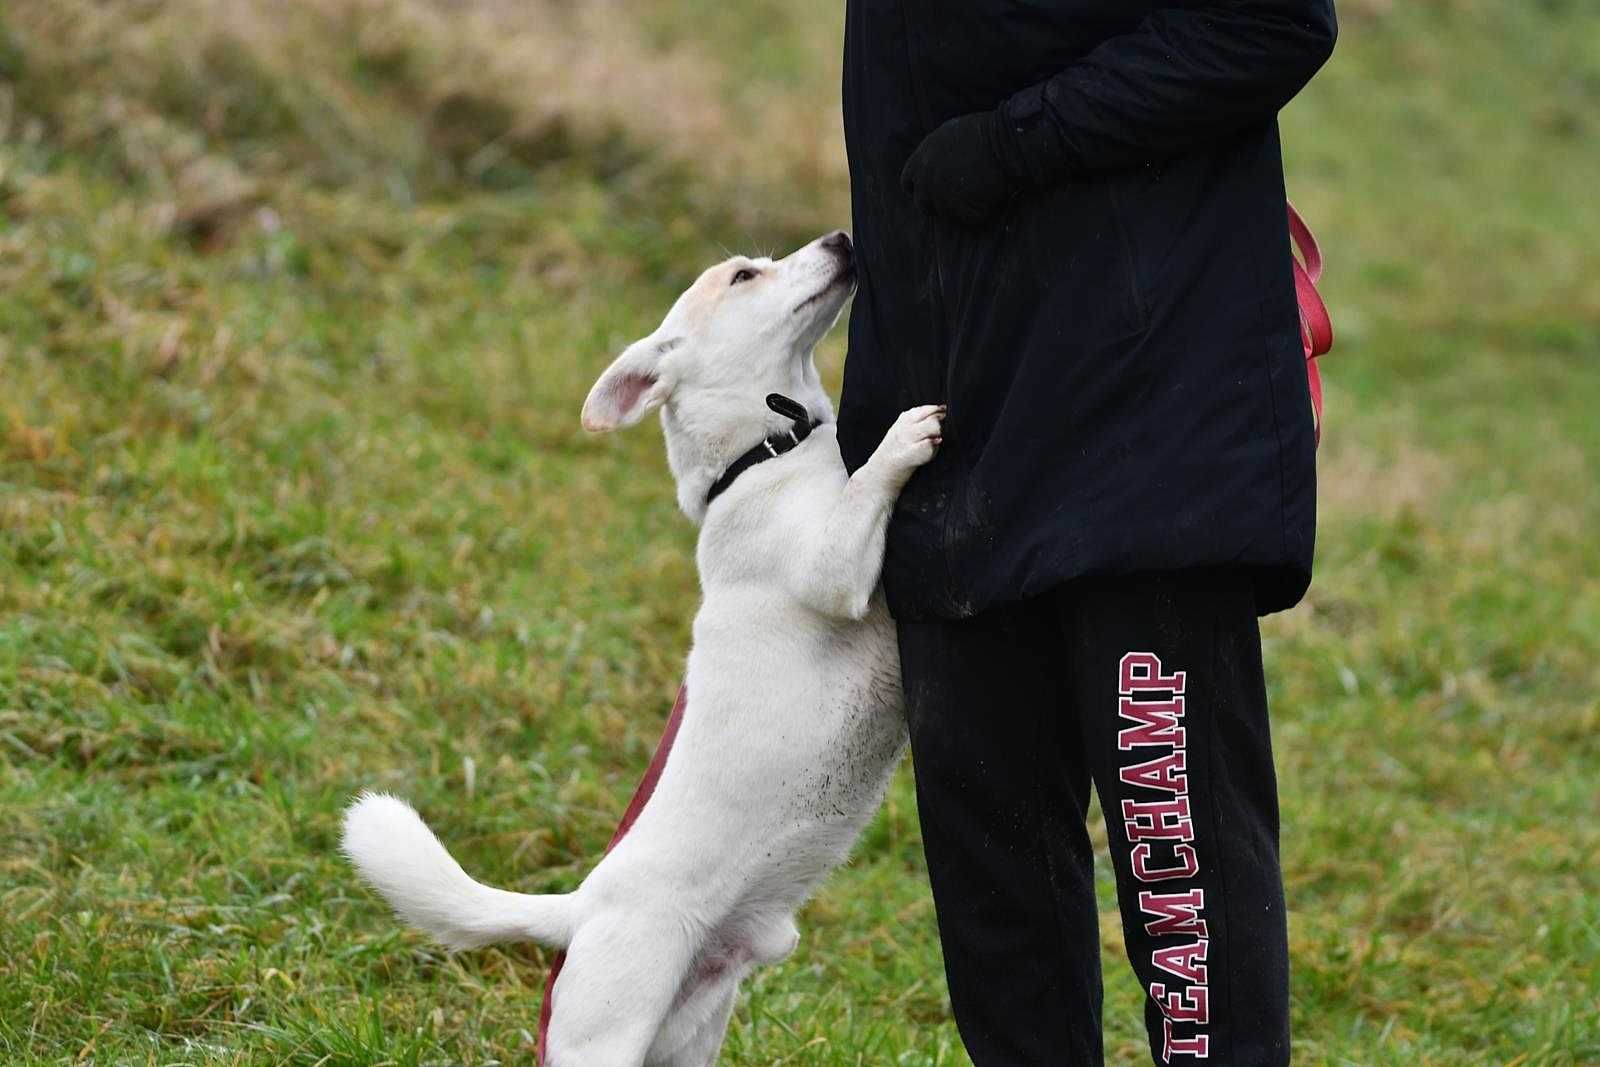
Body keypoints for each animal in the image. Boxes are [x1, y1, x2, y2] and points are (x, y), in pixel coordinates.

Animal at [337, 233, 934, 1067]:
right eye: (744, 275)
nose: (840, 238)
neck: (762, 452)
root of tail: (578, 909)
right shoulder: (835, 567)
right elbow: (871, 484)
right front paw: (905, 436)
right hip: (606, 1031)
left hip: (687, 1039)